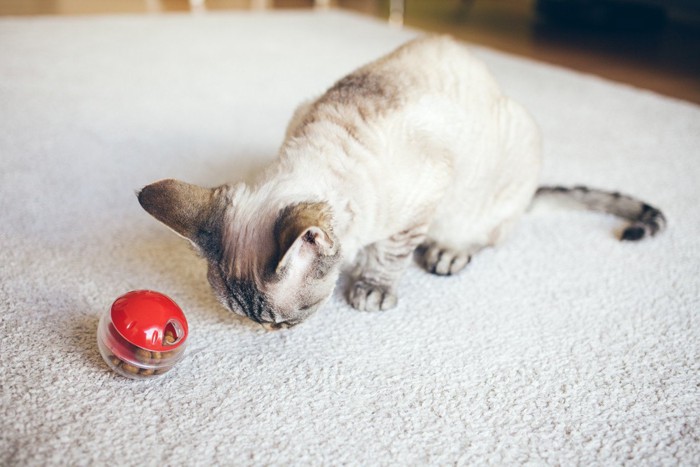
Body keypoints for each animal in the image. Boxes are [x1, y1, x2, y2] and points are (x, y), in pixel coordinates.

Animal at [138, 35, 668, 330]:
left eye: (286, 319)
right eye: (256, 321)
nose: (275, 333)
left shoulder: (423, 201)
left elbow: (389, 255)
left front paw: (371, 287)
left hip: (497, 174)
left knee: (486, 236)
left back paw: (447, 253)